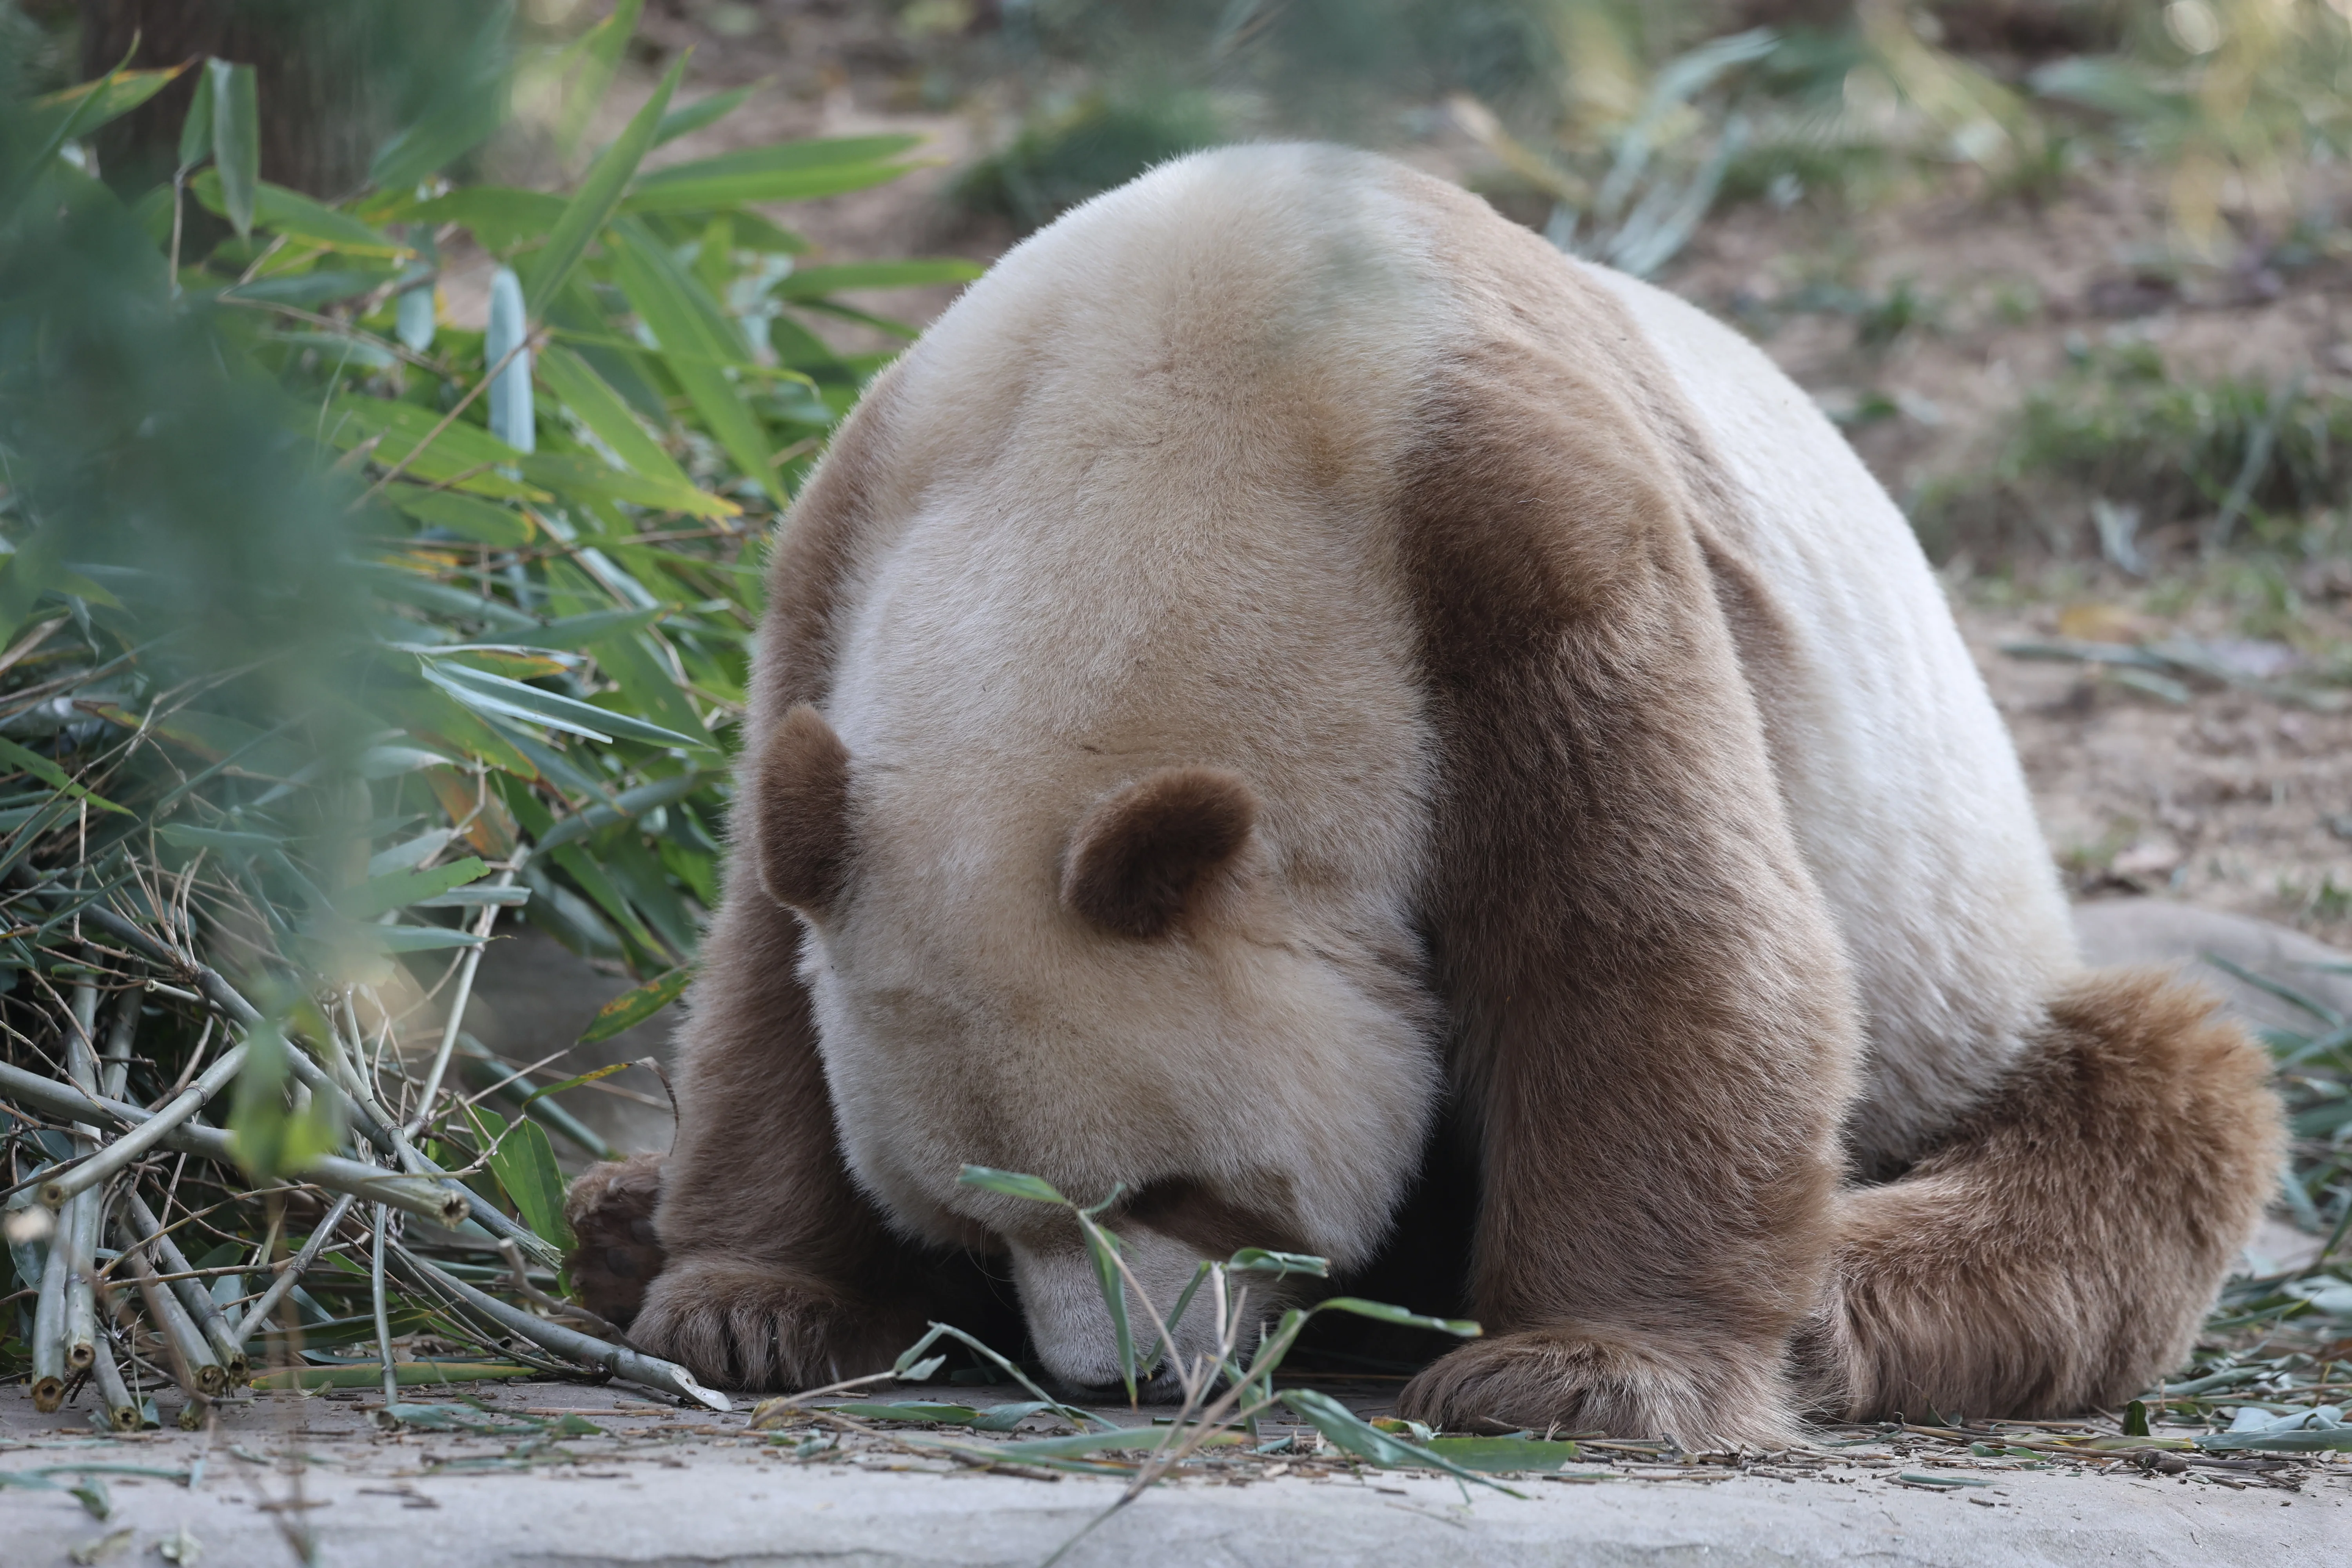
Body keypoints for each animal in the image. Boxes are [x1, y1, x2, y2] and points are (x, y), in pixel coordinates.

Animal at [565, 144, 2282, 1443]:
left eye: (1183, 1191)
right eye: (979, 1222)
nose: (1125, 1377)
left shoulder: (1505, 538)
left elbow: (1656, 940)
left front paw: (1584, 1376)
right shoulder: (845, 545)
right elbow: (761, 966)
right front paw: (751, 1305)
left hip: (1968, 958)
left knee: (2141, 1105)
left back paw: (1831, 1303)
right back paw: (613, 1216)